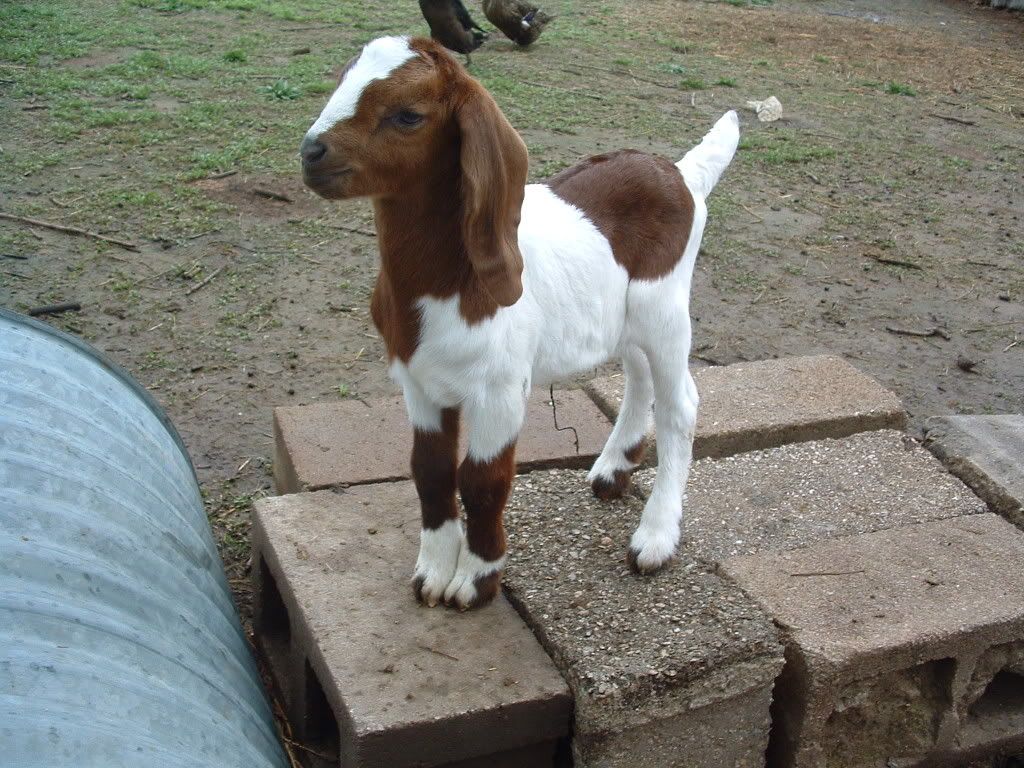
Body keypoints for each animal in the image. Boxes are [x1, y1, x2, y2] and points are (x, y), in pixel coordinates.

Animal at [300, 36, 739, 610]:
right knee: (639, 379)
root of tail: (683, 174)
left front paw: (476, 580)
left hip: (664, 307)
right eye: (340, 81)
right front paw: (432, 573)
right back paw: (612, 470)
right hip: (623, 320)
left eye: (407, 114)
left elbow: (482, 479)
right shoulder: (418, 382)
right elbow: (429, 469)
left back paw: (656, 537)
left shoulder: (501, 387)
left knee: (679, 404)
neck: (448, 283)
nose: (311, 153)